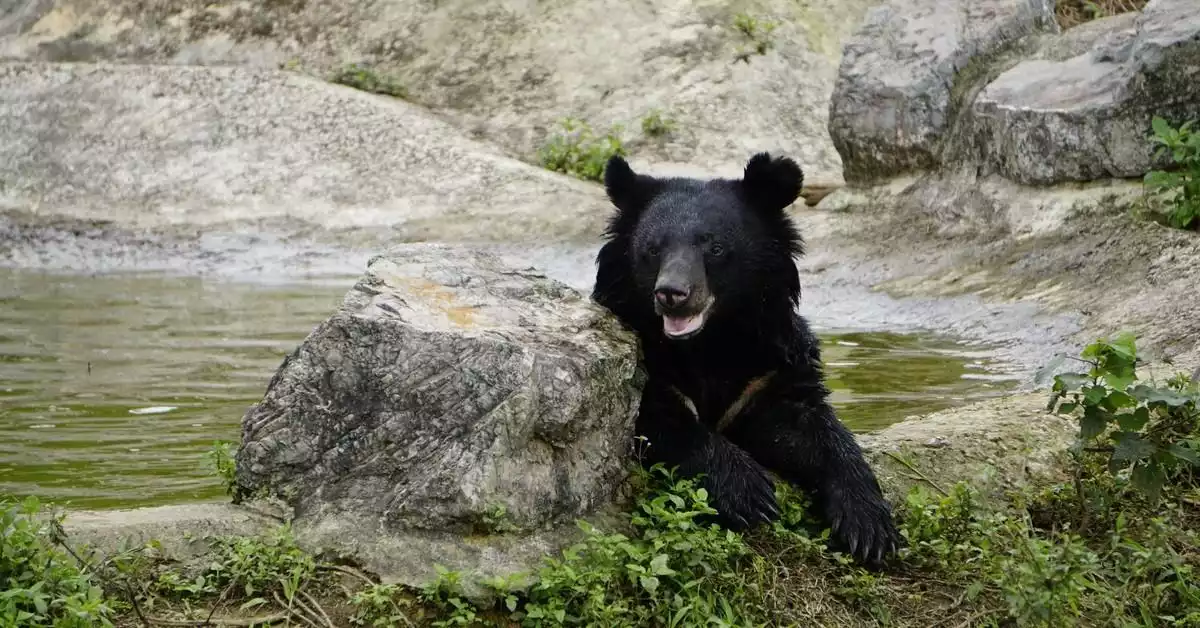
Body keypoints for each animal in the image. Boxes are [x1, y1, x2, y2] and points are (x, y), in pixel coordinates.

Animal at [591, 152, 901, 565]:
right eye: (653, 249)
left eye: (715, 247)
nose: (672, 293)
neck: (711, 340)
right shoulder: (649, 364)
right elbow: (666, 422)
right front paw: (751, 494)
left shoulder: (767, 369)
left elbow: (813, 429)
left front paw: (870, 528)